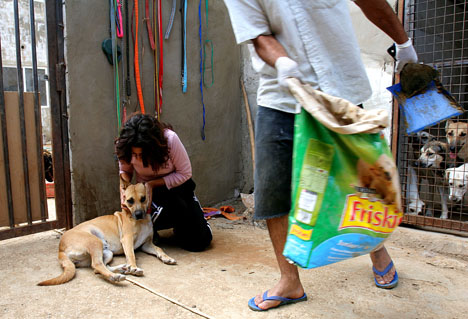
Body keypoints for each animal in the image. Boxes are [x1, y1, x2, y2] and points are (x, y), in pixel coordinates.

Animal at [38, 180, 176, 288]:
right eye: (130, 201)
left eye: (143, 198)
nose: (138, 214)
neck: (141, 221)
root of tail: (60, 248)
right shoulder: (127, 240)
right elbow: (131, 255)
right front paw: (133, 267)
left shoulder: (146, 244)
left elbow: (159, 249)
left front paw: (166, 257)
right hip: (95, 242)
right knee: (97, 265)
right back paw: (115, 276)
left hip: (107, 252)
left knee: (98, 268)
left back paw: (121, 269)